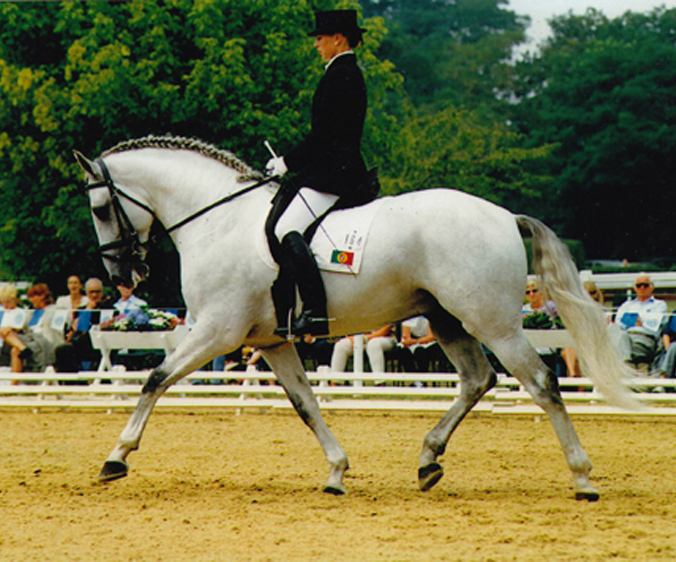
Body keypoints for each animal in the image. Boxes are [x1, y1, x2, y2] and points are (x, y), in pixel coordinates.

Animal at [75, 133, 640, 496]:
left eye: (100, 209)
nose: (123, 272)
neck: (218, 219)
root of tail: (504, 215)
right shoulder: (271, 341)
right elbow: (305, 405)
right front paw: (336, 472)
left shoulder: (218, 331)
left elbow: (156, 378)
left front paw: (116, 457)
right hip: (447, 319)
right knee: (478, 379)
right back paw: (428, 461)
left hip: (491, 321)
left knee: (541, 380)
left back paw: (582, 477)